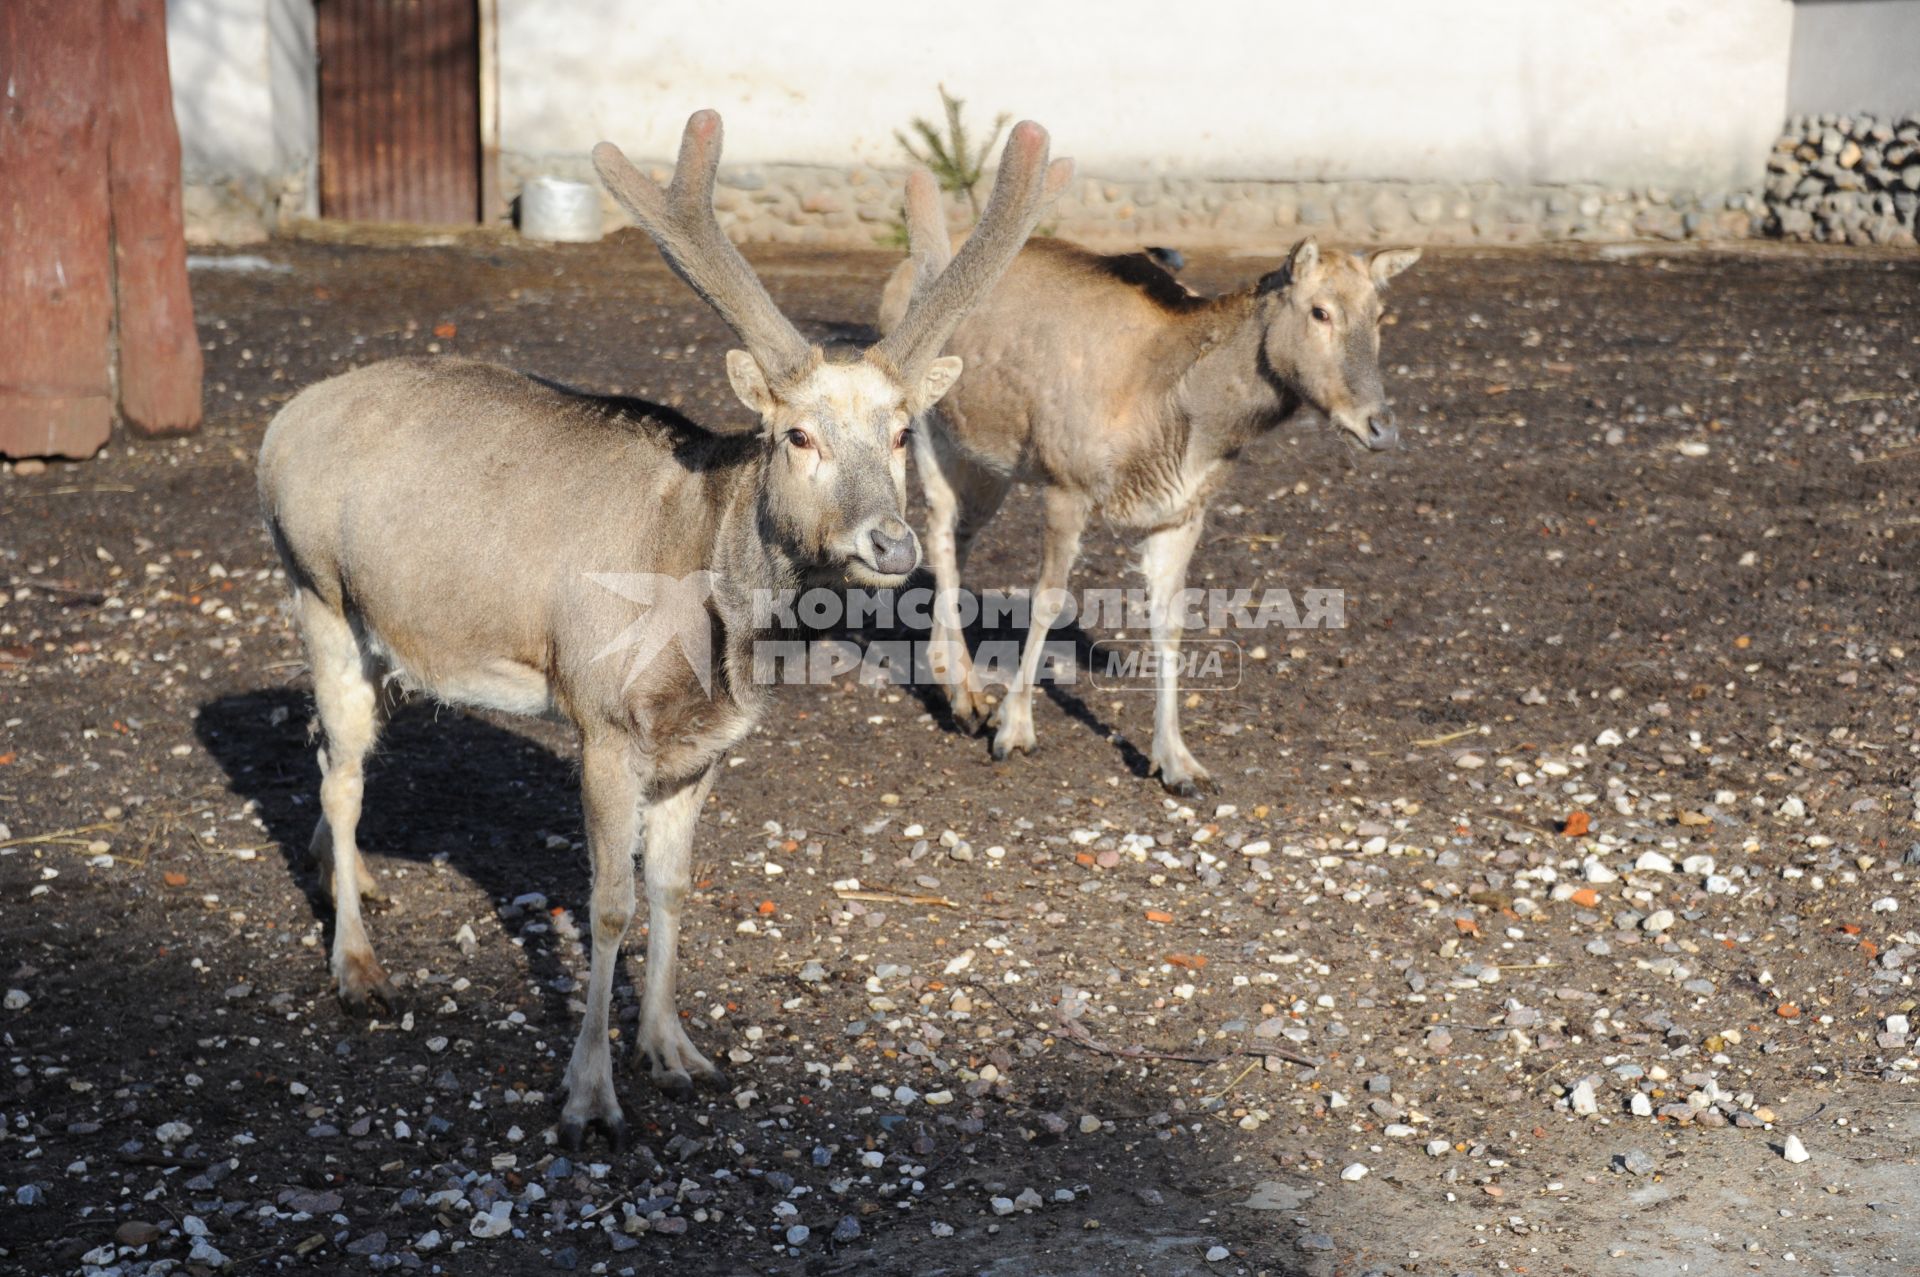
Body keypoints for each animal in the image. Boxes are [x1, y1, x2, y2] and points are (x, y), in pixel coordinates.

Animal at [257, 109, 1075, 1144]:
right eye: (796, 435)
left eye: (899, 433)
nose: (891, 541)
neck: (708, 635)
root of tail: (278, 426)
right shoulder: (603, 715)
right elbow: (607, 903)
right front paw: (590, 1095)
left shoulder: (706, 743)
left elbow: (673, 887)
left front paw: (678, 1051)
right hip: (313, 586)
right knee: (341, 773)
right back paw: (359, 967)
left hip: (375, 633)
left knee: (333, 752)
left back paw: (351, 879)